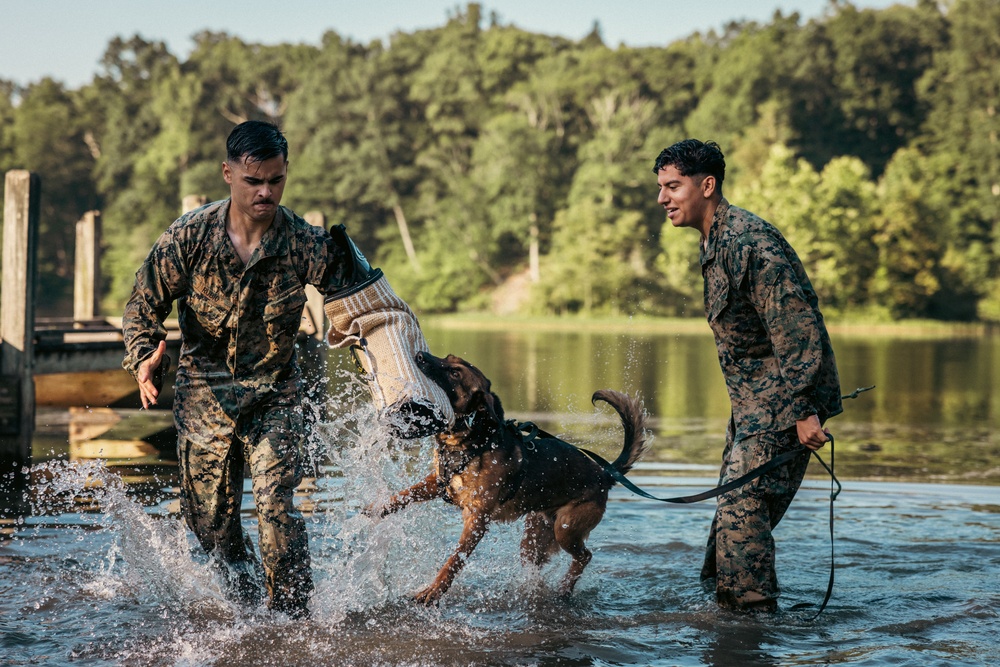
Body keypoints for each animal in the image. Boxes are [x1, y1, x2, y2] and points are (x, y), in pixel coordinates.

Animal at [370, 352, 648, 608]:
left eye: (455, 373)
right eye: (449, 358)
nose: (420, 355)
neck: (472, 441)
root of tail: (604, 474)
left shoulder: (477, 520)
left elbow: (454, 560)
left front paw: (434, 591)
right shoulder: (437, 482)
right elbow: (405, 494)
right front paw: (377, 508)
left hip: (566, 528)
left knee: (585, 557)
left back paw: (564, 590)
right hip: (535, 536)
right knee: (538, 565)